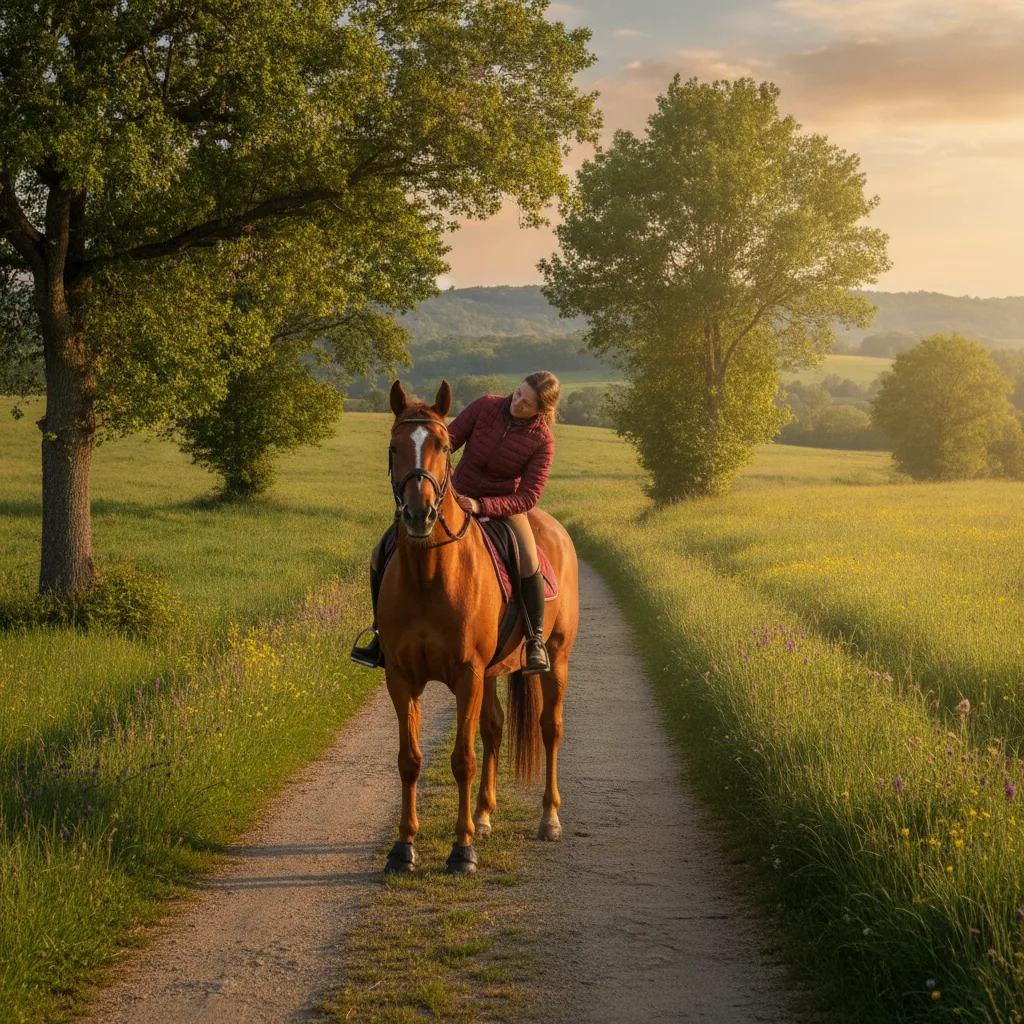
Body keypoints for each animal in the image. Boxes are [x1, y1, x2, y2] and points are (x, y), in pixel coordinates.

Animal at [377, 379, 580, 873]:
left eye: (442, 445)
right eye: (394, 446)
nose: (419, 514)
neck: (429, 574)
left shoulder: (467, 674)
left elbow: (462, 760)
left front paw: (462, 849)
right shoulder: (401, 677)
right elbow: (409, 760)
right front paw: (403, 847)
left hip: (556, 660)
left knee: (550, 728)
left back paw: (549, 819)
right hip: (491, 673)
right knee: (494, 727)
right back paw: (485, 816)